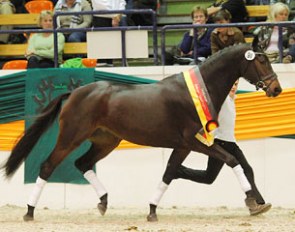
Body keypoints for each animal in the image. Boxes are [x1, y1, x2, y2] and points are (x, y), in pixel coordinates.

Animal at [1, 43, 282, 221]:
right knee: (48, 166)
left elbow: (169, 173)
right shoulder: (193, 141)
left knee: (82, 163)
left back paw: (103, 202)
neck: (195, 93)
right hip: (71, 137)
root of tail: (74, 93)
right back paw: (29, 212)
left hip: (106, 141)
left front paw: (152, 211)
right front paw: (252, 202)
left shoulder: (182, 146)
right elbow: (232, 159)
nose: (276, 89)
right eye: (261, 60)